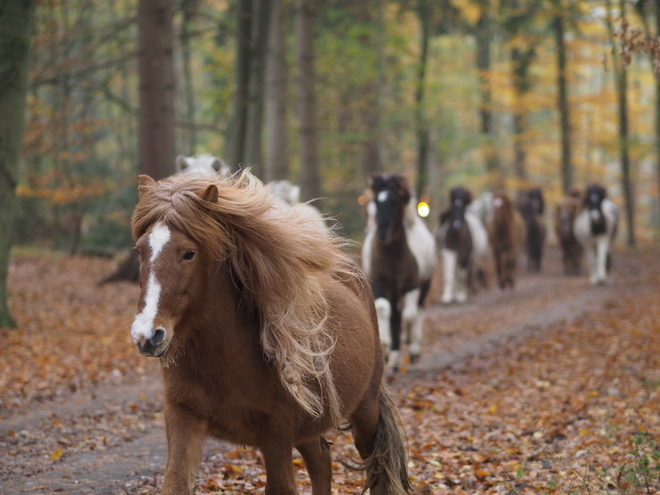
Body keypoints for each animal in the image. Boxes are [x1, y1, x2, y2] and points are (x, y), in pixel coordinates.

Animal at [128, 170, 410, 495]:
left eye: (189, 253)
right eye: (140, 250)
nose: (147, 335)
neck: (224, 355)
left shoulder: (277, 433)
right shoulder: (183, 416)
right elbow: (174, 483)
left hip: (365, 410)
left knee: (373, 465)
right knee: (321, 459)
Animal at [360, 174, 438, 368]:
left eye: (395, 202)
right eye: (376, 202)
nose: (382, 232)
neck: (393, 255)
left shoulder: (412, 285)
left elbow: (409, 315)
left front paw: (409, 339)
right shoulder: (380, 283)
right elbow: (384, 310)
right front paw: (386, 347)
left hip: (423, 286)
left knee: (417, 310)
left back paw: (414, 347)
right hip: (394, 291)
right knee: (395, 316)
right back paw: (394, 358)